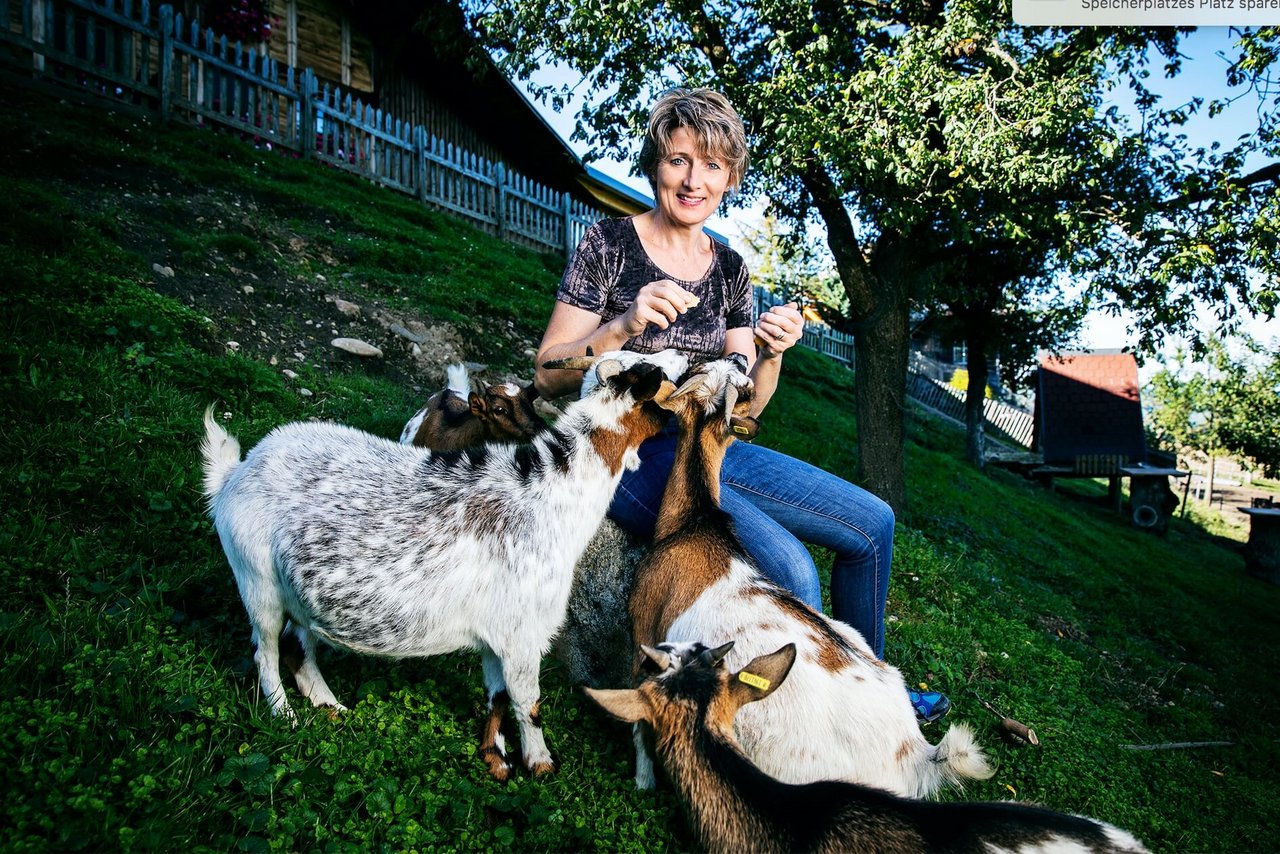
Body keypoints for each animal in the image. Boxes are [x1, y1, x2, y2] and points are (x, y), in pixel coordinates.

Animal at [624, 358, 993, 798]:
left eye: (695, 369)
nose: (740, 357)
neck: (694, 525)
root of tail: (915, 753)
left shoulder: (644, 625)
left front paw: (642, 779)